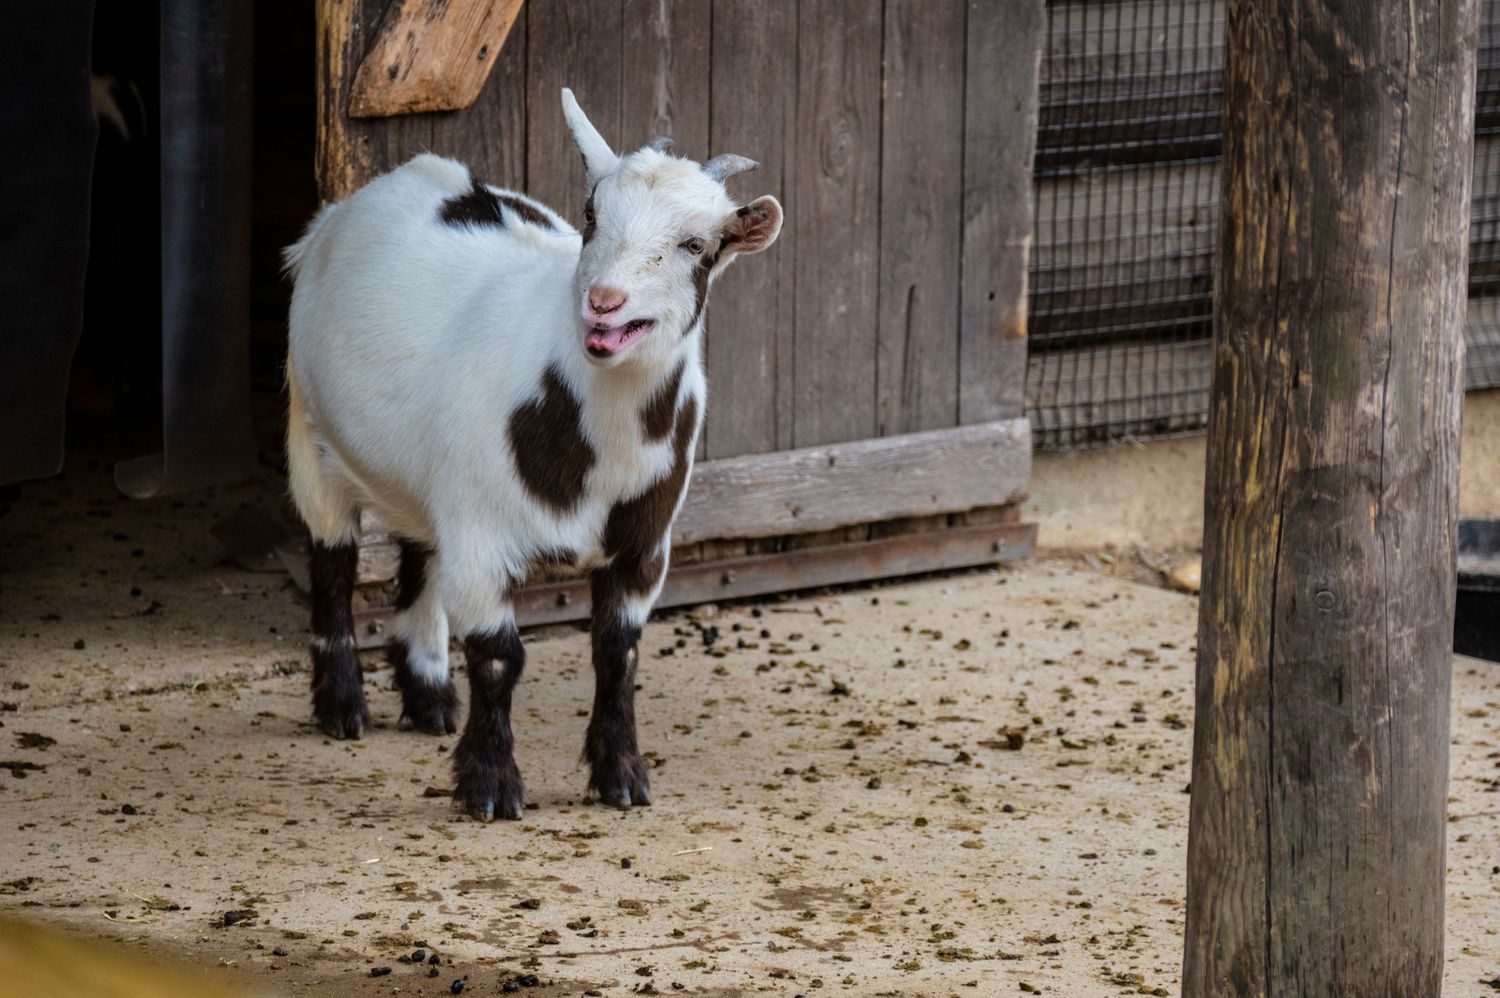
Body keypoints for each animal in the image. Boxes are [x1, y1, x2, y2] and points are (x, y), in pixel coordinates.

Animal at [283, 89, 782, 821]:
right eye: (592, 215)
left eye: (697, 244)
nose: (604, 304)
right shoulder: (483, 536)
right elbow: (498, 656)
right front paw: (490, 786)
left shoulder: (645, 544)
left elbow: (617, 652)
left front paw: (621, 776)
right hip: (308, 421)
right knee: (332, 559)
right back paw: (343, 705)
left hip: (425, 474)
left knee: (418, 549)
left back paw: (429, 697)